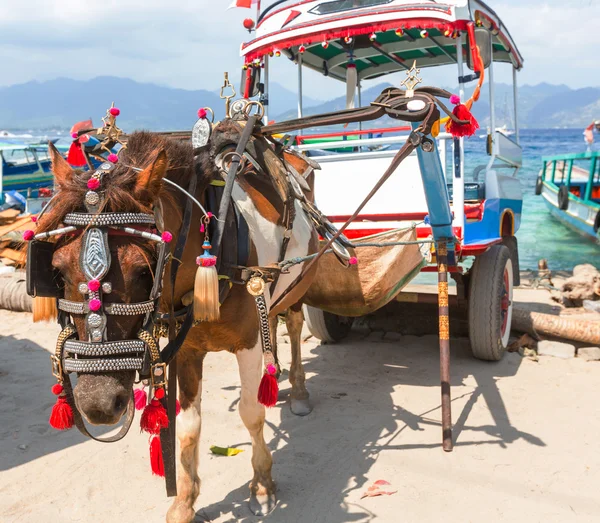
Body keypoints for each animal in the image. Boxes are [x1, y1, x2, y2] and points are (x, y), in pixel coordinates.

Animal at [35, 122, 318, 520]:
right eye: (57, 270)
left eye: (143, 270)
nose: (98, 402)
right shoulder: (187, 350)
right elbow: (187, 427)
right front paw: (185, 501)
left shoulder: (246, 342)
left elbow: (250, 413)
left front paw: (262, 484)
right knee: (273, 321)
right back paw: (274, 372)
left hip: (299, 285)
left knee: (291, 326)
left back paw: (298, 389)